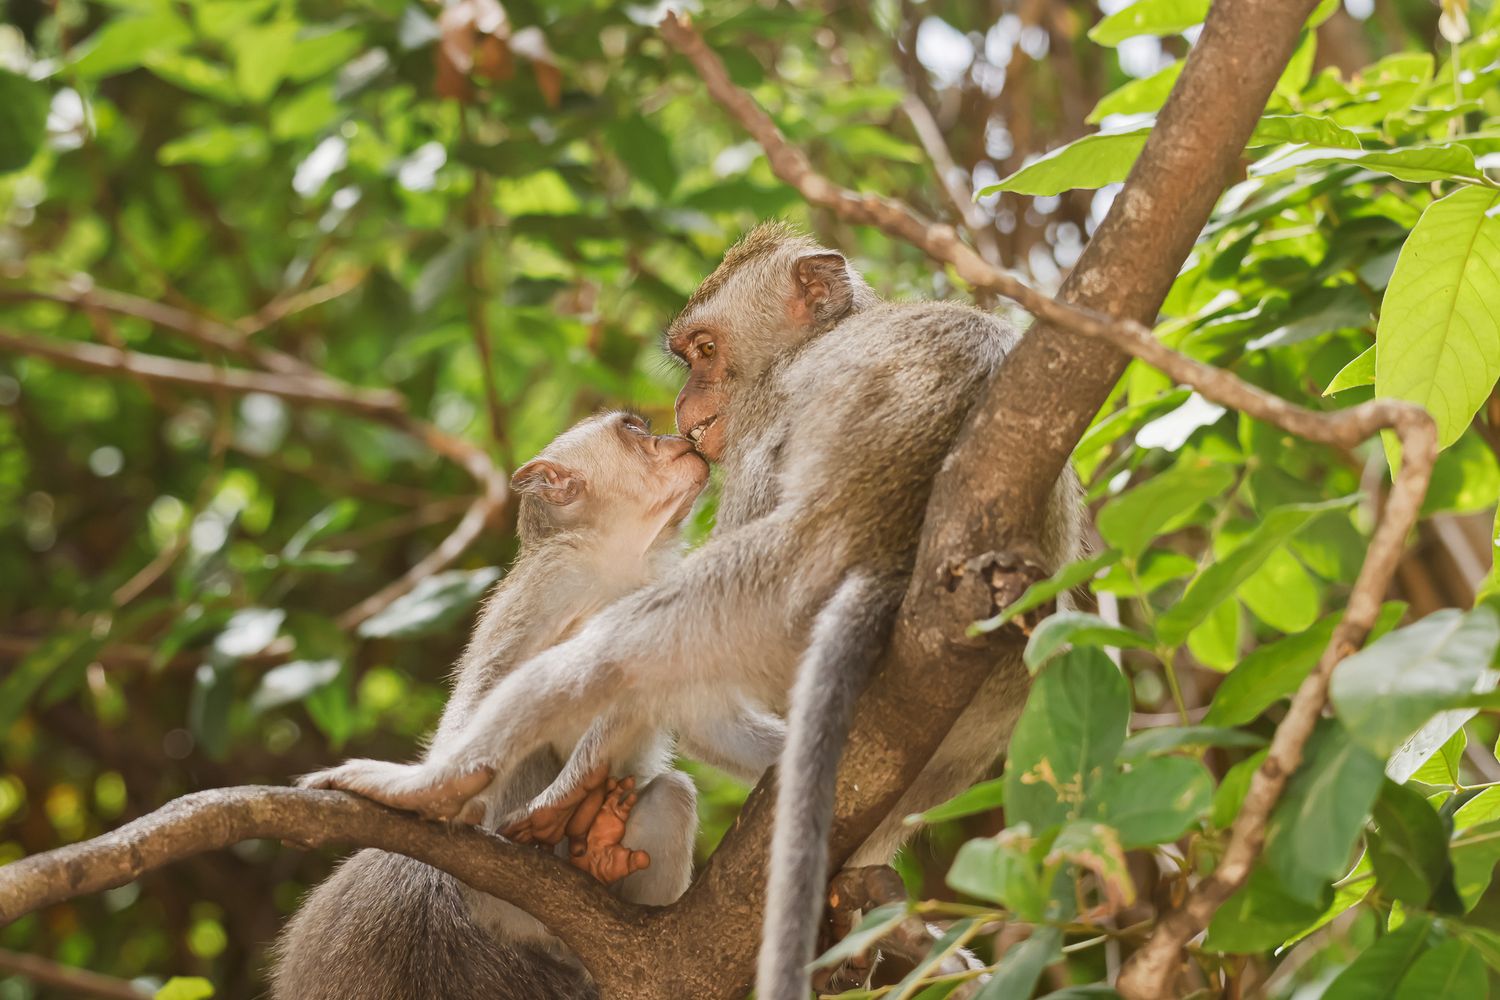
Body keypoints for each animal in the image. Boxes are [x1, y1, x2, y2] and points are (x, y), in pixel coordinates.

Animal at [277, 412, 787, 1000]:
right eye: (634, 429)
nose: (672, 438)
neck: (622, 564)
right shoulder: (553, 580)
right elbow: (489, 686)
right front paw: (436, 790)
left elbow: (704, 721)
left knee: (671, 792)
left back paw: (600, 856)